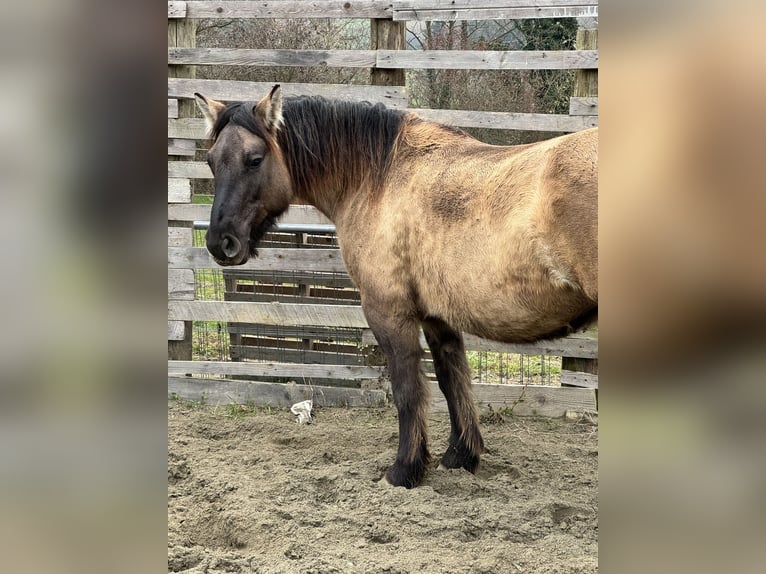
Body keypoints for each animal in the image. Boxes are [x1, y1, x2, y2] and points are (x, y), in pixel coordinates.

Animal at [194, 85, 600, 490]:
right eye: (211, 160)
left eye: (254, 159)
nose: (220, 243)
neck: (379, 178)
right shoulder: (438, 317)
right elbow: (453, 380)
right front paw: (460, 456)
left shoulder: (389, 314)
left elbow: (407, 390)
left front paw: (405, 470)